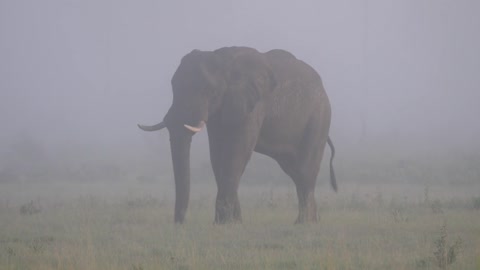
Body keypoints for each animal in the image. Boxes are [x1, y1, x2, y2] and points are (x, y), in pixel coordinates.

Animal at [137, 46, 336, 224]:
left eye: (209, 90)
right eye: (173, 86)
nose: (180, 224)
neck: (224, 60)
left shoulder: (254, 103)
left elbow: (237, 152)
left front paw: (224, 223)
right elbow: (217, 154)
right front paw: (232, 222)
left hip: (319, 118)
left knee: (304, 171)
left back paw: (304, 223)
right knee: (293, 170)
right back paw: (313, 220)